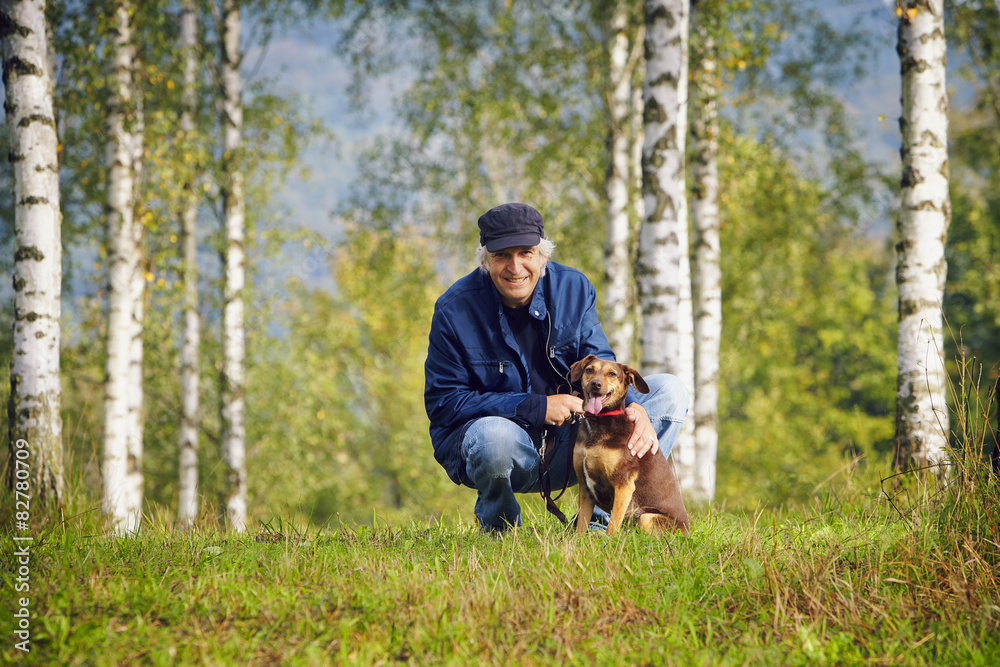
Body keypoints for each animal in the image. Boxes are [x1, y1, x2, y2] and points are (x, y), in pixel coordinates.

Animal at [568, 354, 692, 536]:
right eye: (590, 370)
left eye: (612, 374)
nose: (596, 384)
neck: (599, 420)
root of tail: (687, 532)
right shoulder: (585, 488)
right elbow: (580, 527)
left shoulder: (623, 485)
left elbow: (612, 526)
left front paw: (609, 540)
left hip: (647, 517)